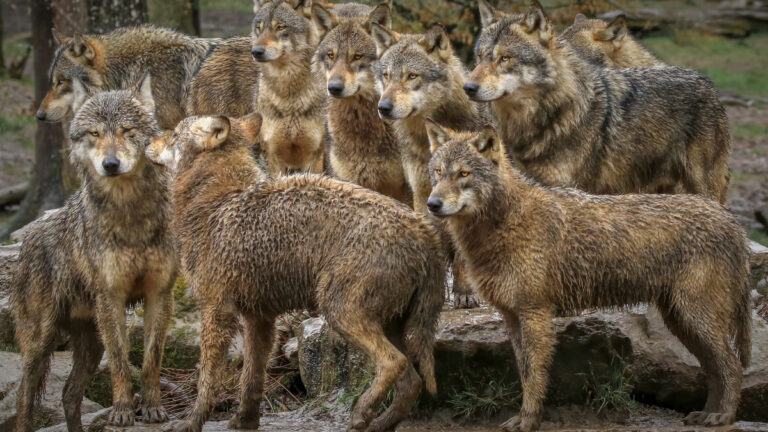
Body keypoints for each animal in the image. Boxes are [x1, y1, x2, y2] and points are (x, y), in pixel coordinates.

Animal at [12, 75, 177, 432]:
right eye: (94, 134)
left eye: (127, 131)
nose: (110, 164)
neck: (131, 216)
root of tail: (27, 238)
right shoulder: (110, 298)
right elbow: (120, 362)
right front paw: (122, 412)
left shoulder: (160, 294)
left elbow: (151, 360)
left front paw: (153, 408)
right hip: (39, 343)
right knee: (23, 398)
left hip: (90, 343)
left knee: (69, 394)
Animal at [146, 114, 444, 432]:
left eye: (174, 134)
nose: (147, 141)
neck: (216, 202)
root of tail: (424, 232)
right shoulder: (259, 319)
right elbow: (251, 378)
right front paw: (244, 420)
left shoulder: (216, 311)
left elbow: (207, 379)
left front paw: (191, 422)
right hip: (385, 323)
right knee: (412, 382)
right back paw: (377, 423)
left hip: (339, 312)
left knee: (393, 363)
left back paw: (360, 413)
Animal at [425, 123, 751, 431]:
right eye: (438, 173)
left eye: (463, 173)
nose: (432, 204)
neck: (505, 221)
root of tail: (731, 221)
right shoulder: (513, 316)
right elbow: (525, 371)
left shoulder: (535, 314)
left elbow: (534, 376)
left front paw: (528, 420)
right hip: (682, 322)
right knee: (714, 369)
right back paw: (706, 414)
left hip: (695, 318)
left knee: (732, 366)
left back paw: (722, 416)